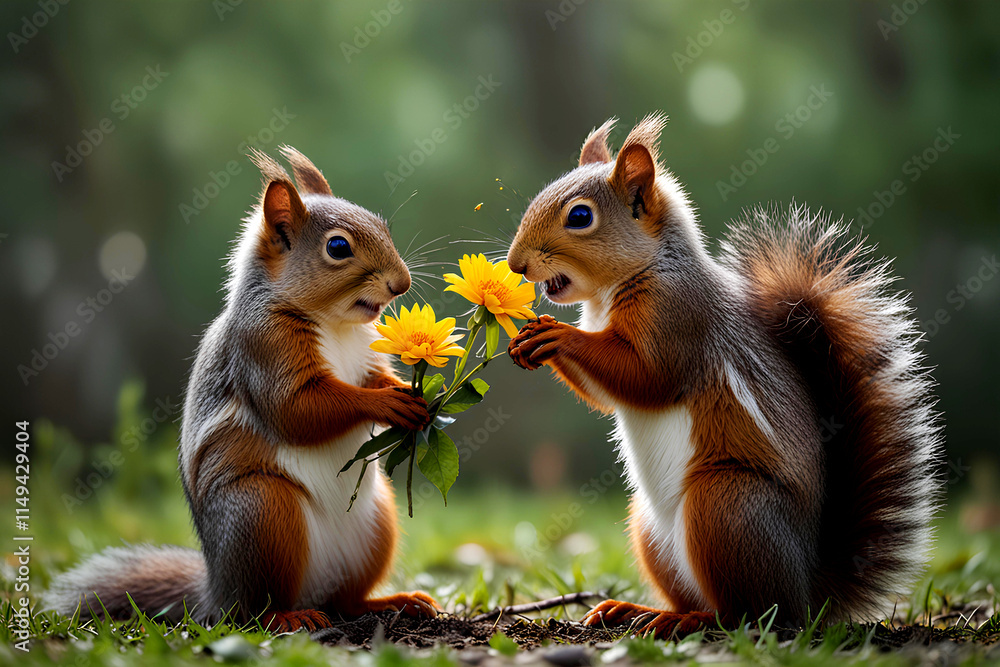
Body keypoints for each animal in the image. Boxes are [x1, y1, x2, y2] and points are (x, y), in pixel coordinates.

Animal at [44, 147, 439, 632]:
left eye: (383, 225)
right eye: (338, 247)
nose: (402, 284)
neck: (335, 323)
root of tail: (216, 589)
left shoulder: (365, 359)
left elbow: (372, 378)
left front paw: (413, 393)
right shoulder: (263, 349)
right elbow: (298, 411)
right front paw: (387, 403)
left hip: (376, 522)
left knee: (346, 600)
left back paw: (393, 602)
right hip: (261, 512)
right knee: (253, 610)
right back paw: (288, 617)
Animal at [506, 114, 942, 637]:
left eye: (579, 217)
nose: (515, 264)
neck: (628, 281)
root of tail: (808, 593)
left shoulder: (678, 321)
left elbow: (646, 378)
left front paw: (556, 335)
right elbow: (606, 397)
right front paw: (527, 340)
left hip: (725, 504)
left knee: (746, 615)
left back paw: (686, 622)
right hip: (650, 525)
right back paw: (636, 611)